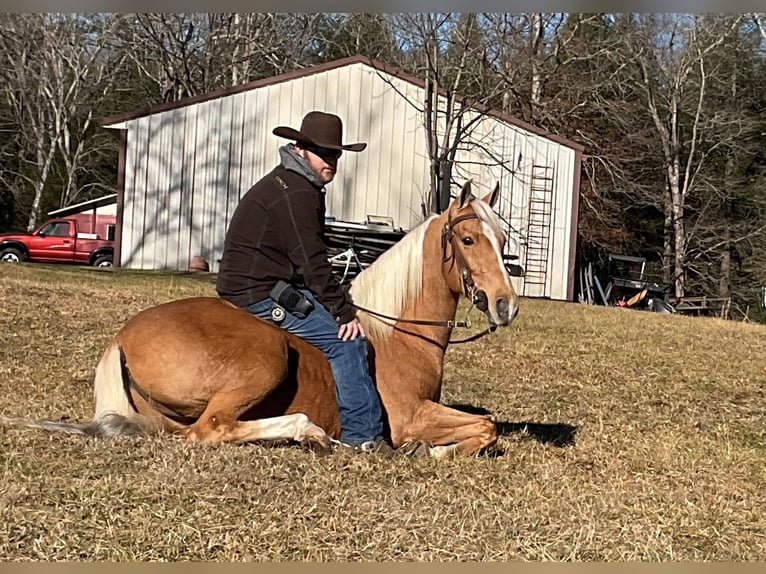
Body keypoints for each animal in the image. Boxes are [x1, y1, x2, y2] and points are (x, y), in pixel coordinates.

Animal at [0, 180, 520, 460]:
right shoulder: (412, 417)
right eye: (468, 240)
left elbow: (486, 426)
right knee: (210, 431)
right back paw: (309, 433)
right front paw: (430, 451)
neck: (395, 331)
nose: (506, 305)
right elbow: (487, 426)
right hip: (268, 359)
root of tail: (123, 338)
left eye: (500, 238)